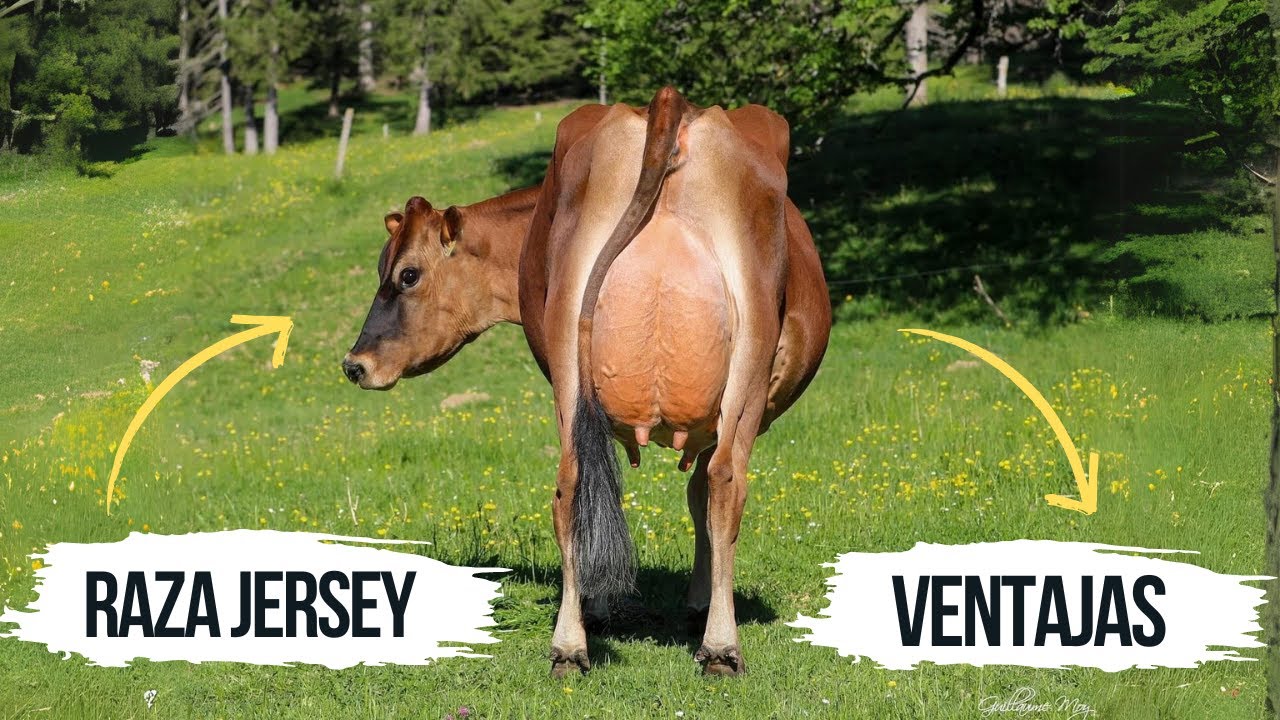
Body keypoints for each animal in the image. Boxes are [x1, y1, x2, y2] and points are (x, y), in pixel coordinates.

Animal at [343, 87, 831, 677]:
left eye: (407, 274)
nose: (354, 364)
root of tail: (670, 104)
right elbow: (685, 494)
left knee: (583, 483)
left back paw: (578, 645)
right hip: (743, 373)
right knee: (717, 484)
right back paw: (713, 646)